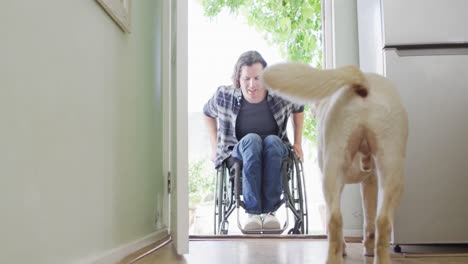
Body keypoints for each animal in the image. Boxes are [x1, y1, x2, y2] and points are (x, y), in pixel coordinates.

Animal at [264, 63, 410, 264]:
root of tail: (363, 81)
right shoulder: (370, 181)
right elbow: (369, 221)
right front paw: (367, 248)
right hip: (391, 168)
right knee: (382, 221)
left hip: (332, 171)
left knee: (334, 220)